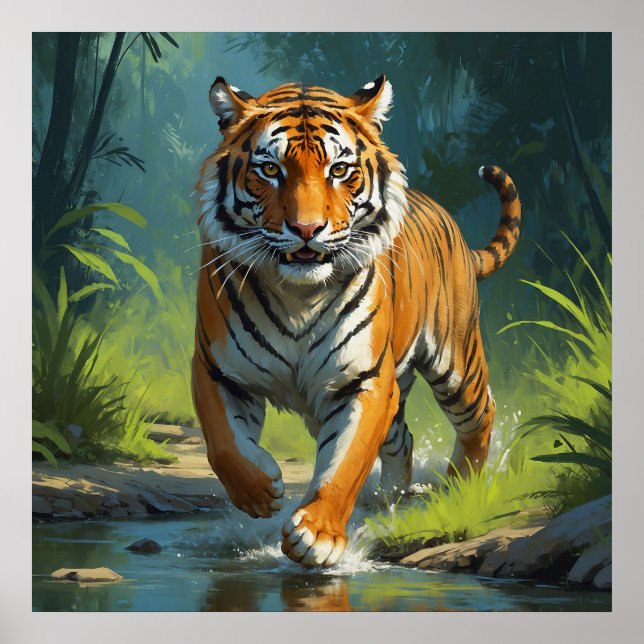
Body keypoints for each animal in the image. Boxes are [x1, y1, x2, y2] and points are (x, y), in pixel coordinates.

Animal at [193, 75, 521, 568]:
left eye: (339, 170)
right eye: (270, 170)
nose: (307, 230)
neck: (298, 294)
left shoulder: (363, 380)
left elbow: (346, 462)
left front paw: (318, 535)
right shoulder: (217, 368)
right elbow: (224, 443)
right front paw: (260, 492)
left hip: (456, 362)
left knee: (481, 414)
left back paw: (458, 490)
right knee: (402, 439)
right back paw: (391, 497)